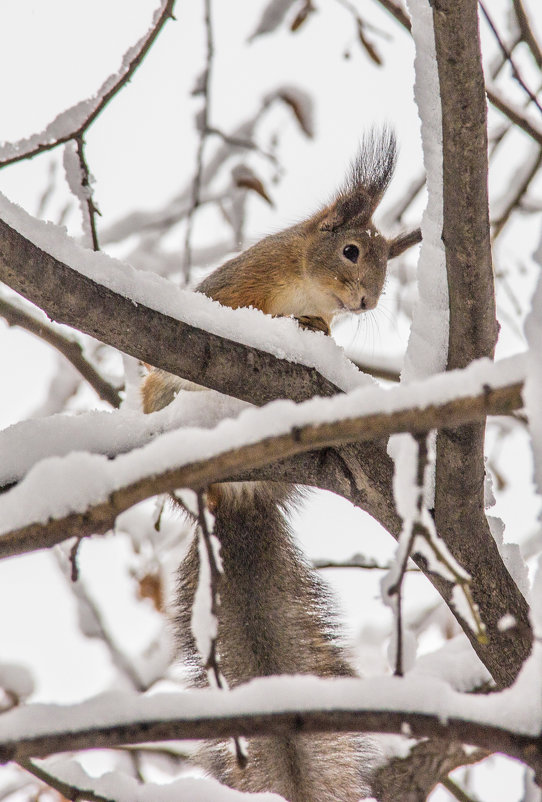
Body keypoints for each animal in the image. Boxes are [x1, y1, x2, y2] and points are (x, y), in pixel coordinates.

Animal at [142, 128, 418, 796]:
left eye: (386, 263)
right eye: (351, 250)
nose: (367, 299)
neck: (301, 283)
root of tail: (232, 496)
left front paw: (312, 327)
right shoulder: (241, 281)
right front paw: (279, 323)